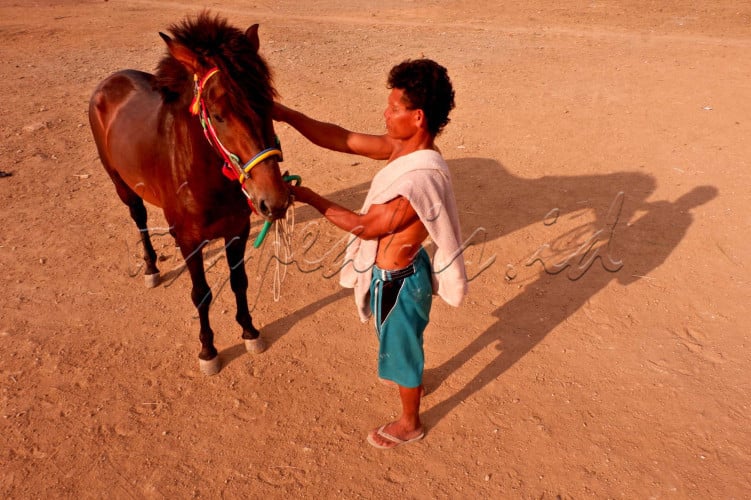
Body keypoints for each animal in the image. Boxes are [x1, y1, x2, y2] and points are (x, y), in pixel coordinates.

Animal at [87, 11, 288, 376]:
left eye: (269, 106)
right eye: (219, 115)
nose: (275, 201)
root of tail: (110, 81)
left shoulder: (237, 230)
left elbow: (239, 282)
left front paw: (250, 331)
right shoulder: (192, 241)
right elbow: (202, 294)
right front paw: (208, 350)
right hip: (121, 185)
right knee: (139, 219)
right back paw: (151, 268)